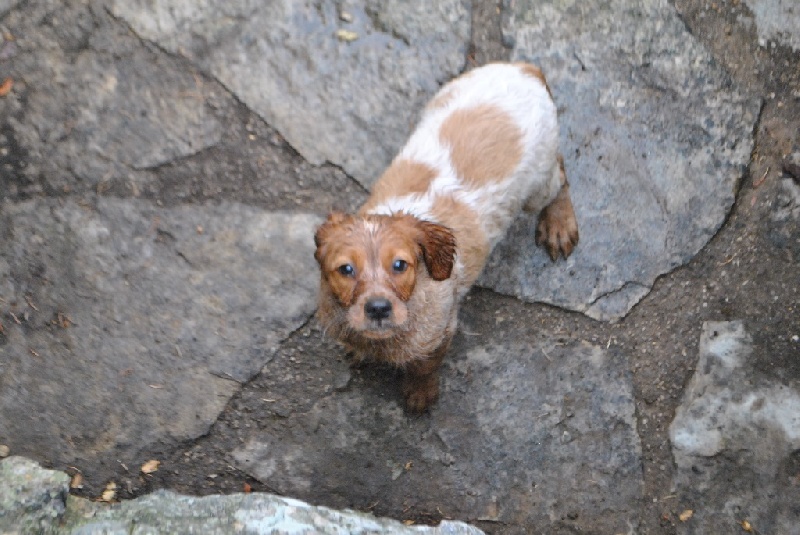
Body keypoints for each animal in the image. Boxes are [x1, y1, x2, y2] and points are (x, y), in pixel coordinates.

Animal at [314, 62, 579, 412]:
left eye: (400, 265)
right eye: (345, 269)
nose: (378, 309)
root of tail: (523, 69)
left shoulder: (441, 329)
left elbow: (424, 365)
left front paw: (419, 394)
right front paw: (358, 349)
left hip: (538, 184)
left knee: (560, 174)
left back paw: (558, 225)